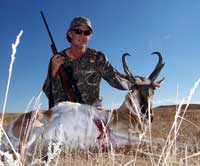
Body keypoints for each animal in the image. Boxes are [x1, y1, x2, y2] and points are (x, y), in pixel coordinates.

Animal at [0, 52, 164, 156]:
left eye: (153, 89)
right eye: (132, 88)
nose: (148, 114)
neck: (119, 114)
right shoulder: (124, 135)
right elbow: (157, 141)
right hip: (33, 134)